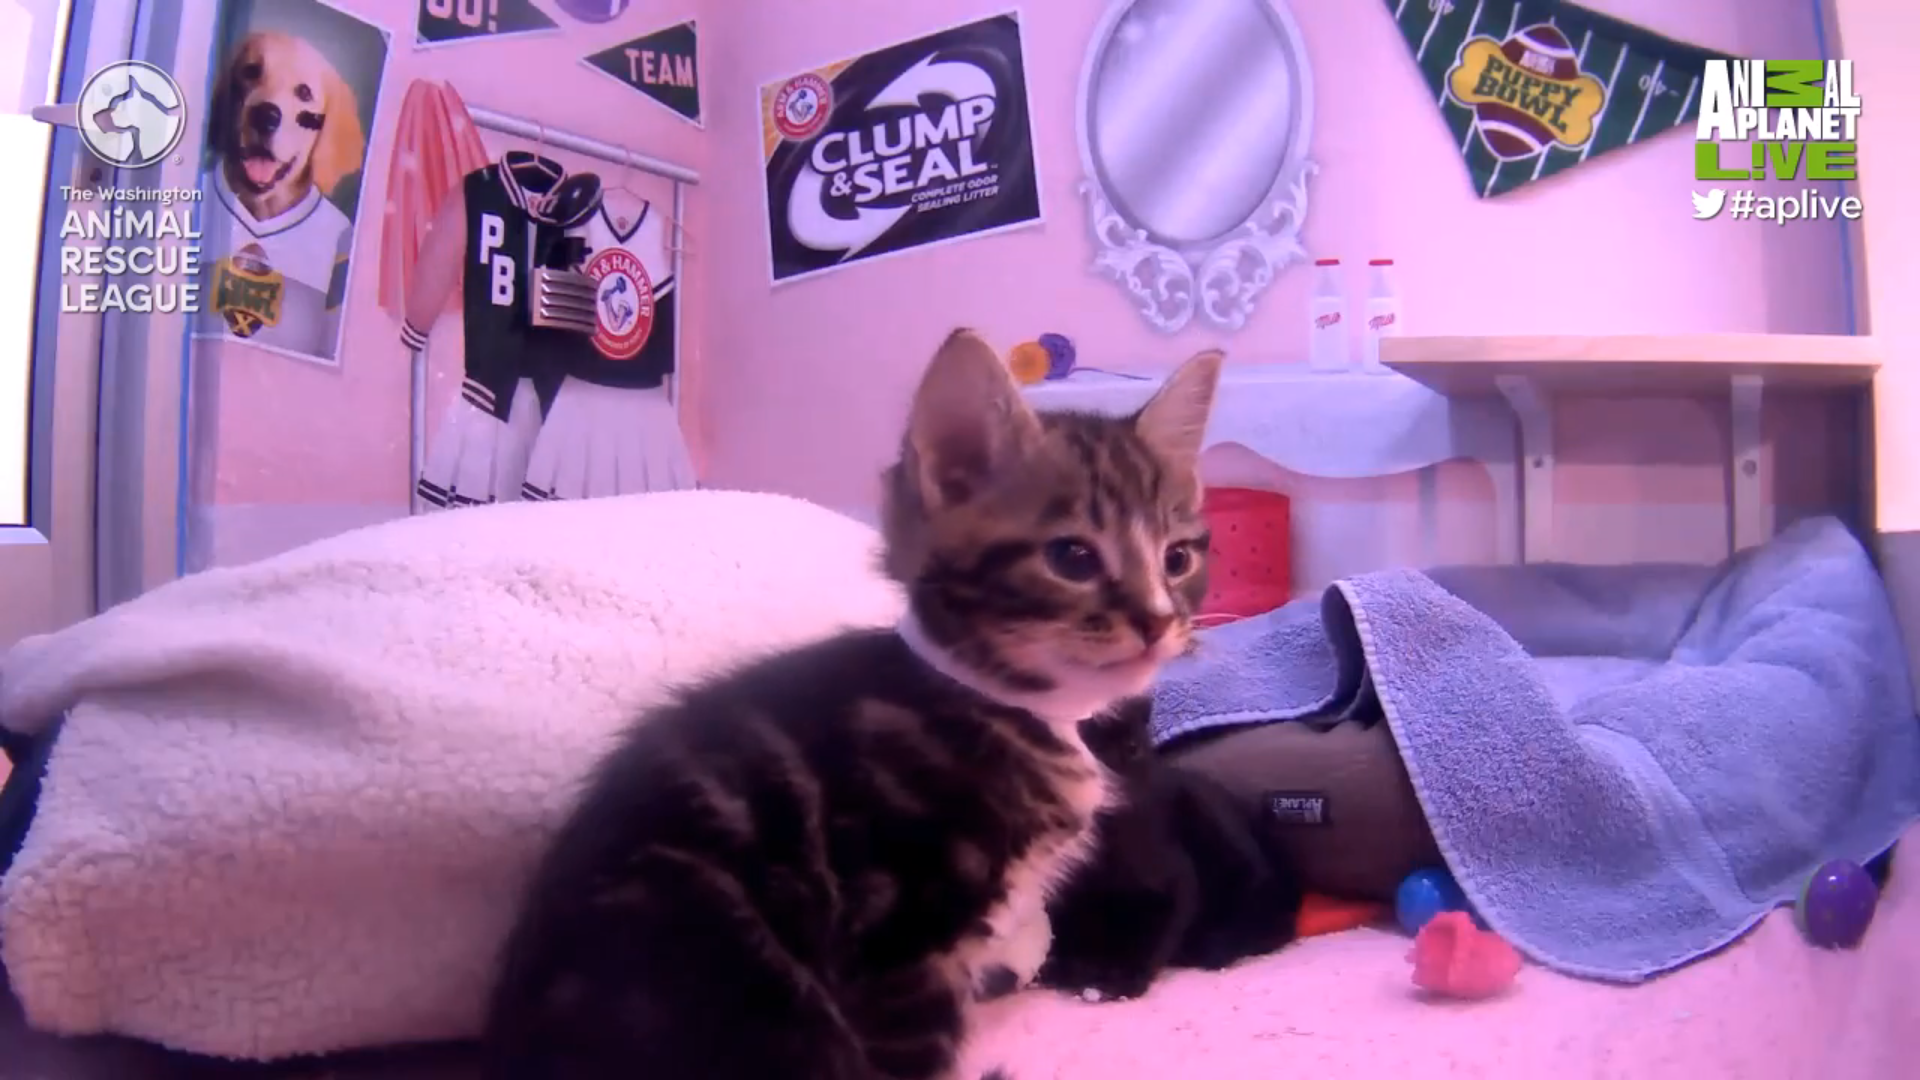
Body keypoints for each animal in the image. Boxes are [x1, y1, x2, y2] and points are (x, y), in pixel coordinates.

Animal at [1036, 699, 1305, 999]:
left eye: (1131, 748)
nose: (1108, 791)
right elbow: (1065, 930)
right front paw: (1068, 966)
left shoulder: (1177, 878)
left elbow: (1155, 933)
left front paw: (1124, 976)